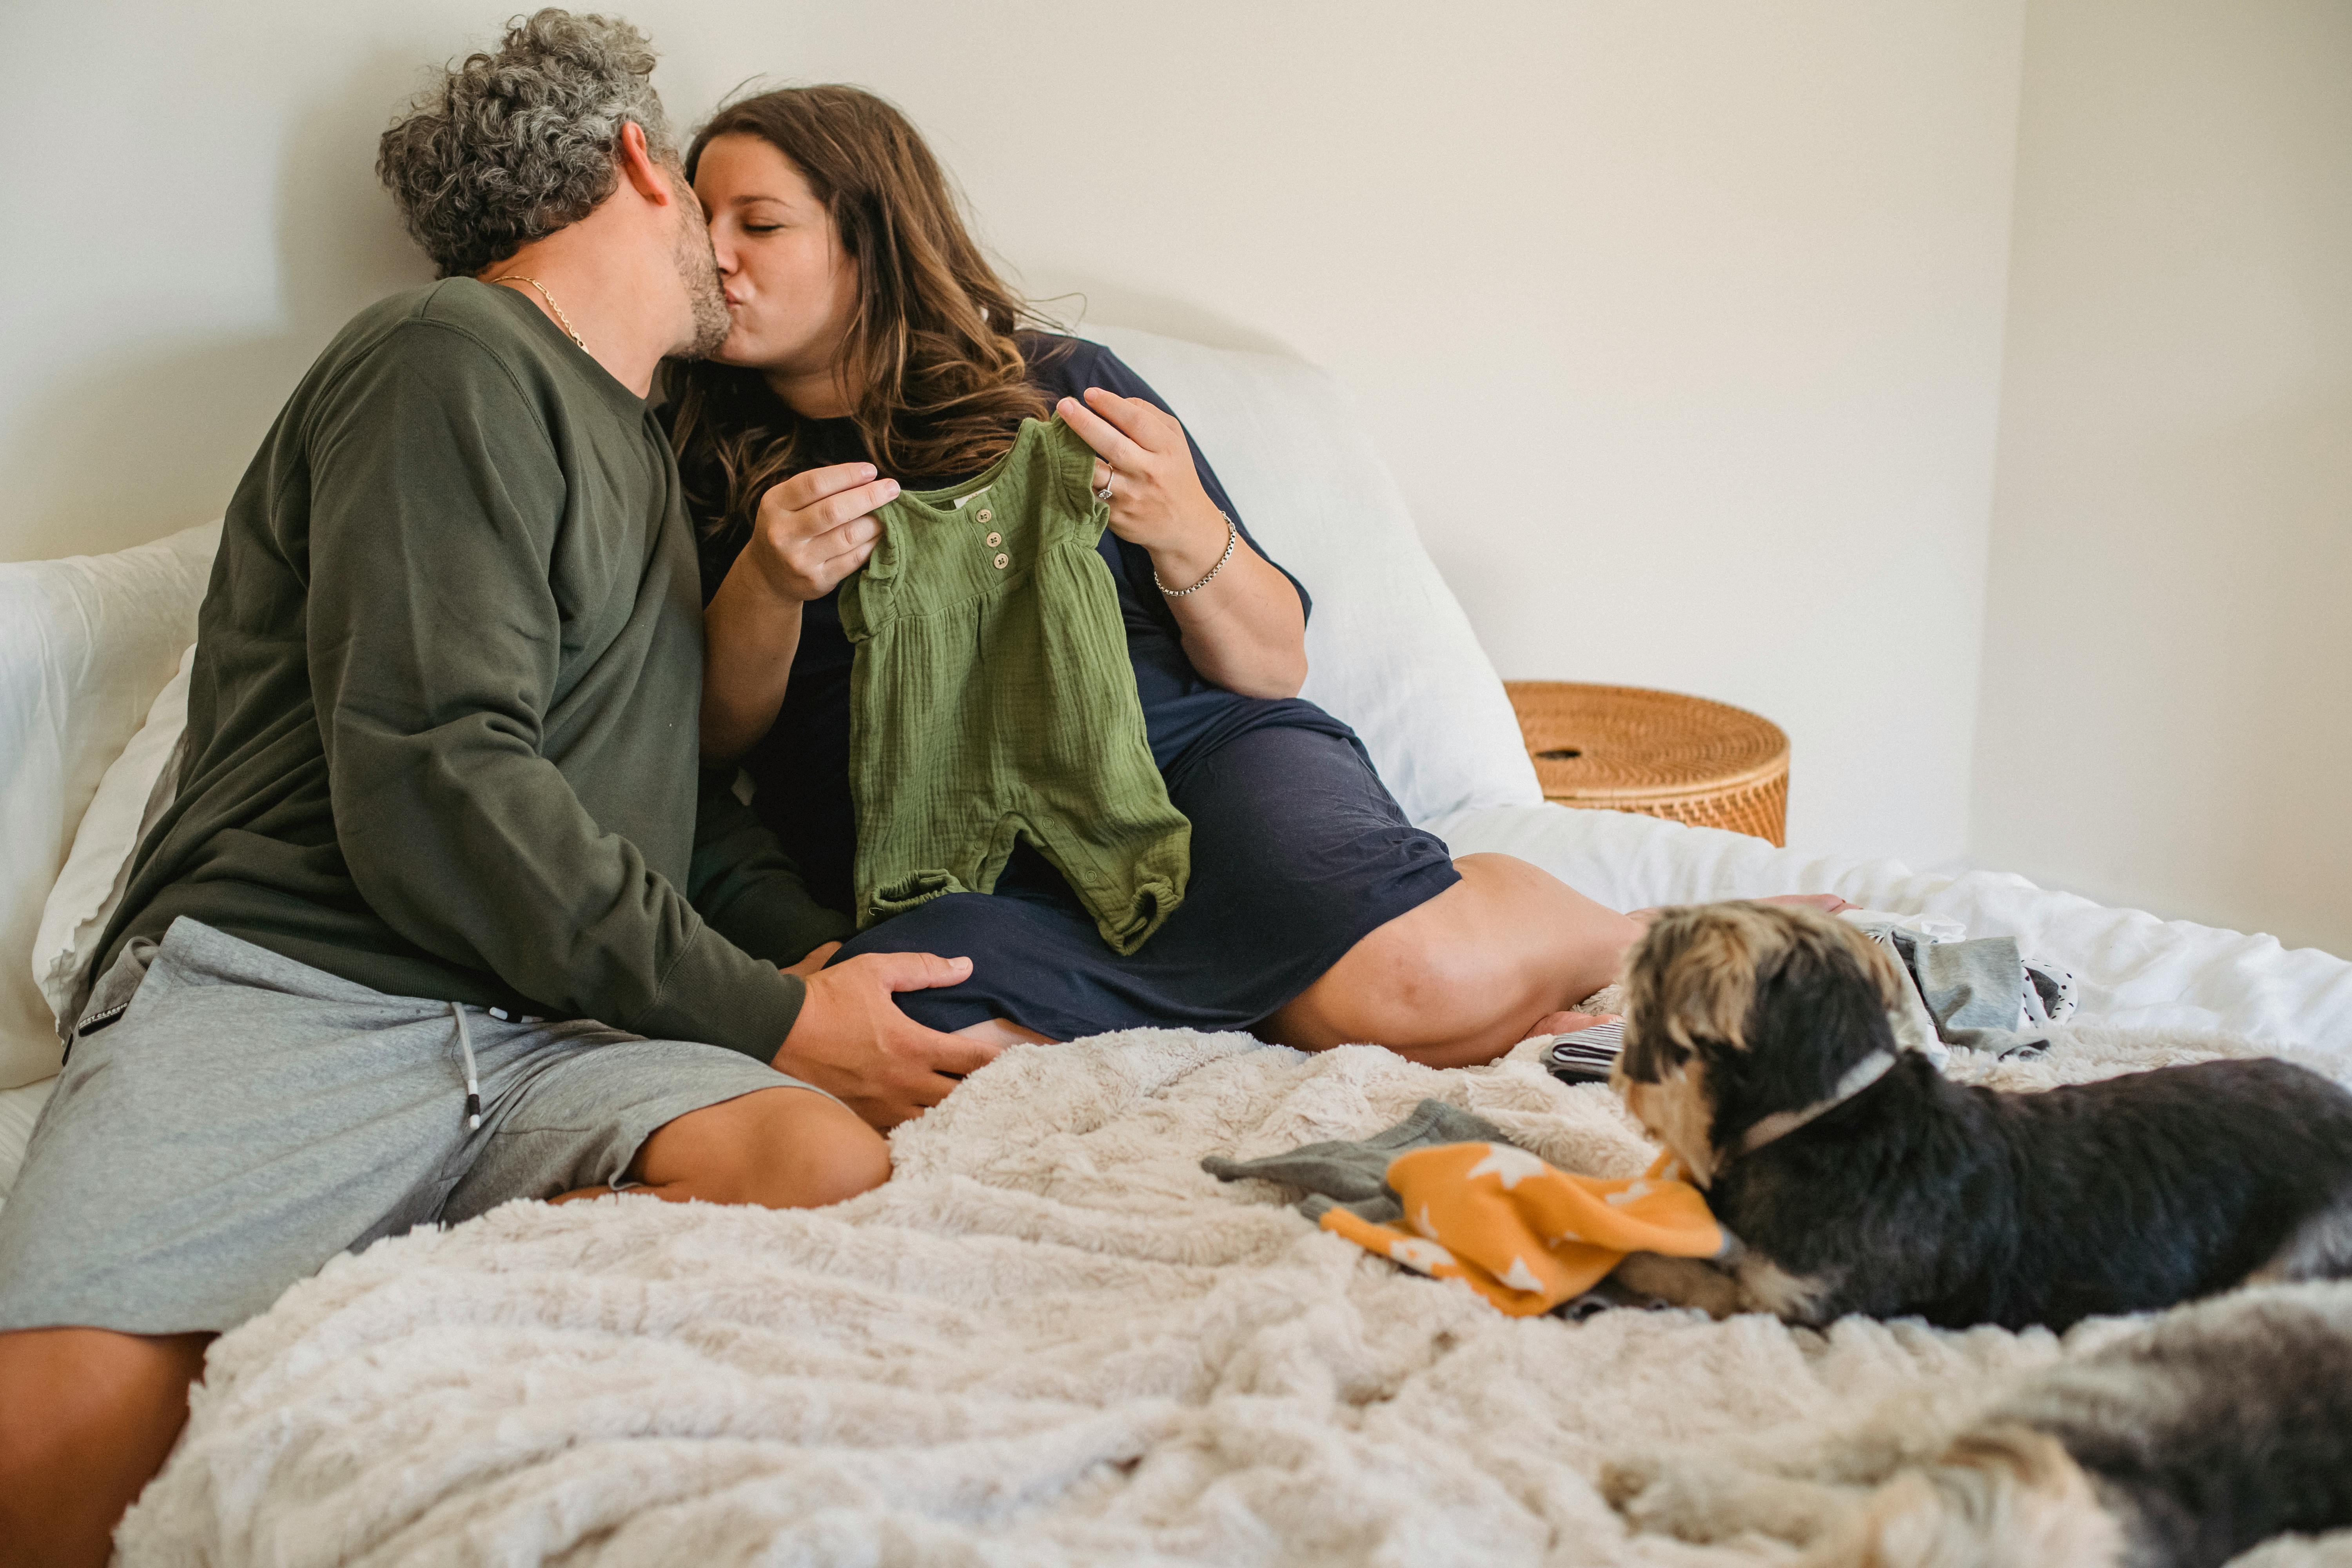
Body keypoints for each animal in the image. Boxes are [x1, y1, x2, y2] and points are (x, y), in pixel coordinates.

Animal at [1609, 902, 2352, 1335]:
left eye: (1642, 1005)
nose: (1620, 1073)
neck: (1830, 1109)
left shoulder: (1792, 1298)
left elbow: (1685, 1275)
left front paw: (1627, 1260)